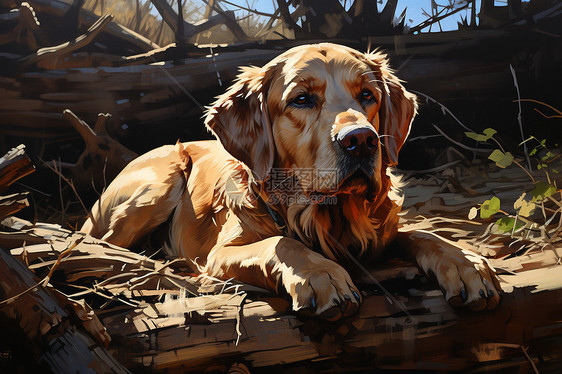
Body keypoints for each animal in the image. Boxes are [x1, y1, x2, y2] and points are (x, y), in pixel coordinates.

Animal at [80, 43, 498, 318]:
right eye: (301, 99)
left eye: (367, 95)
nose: (361, 140)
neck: (323, 214)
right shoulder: (220, 252)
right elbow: (281, 242)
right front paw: (320, 275)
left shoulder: (381, 232)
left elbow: (421, 233)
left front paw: (465, 263)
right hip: (160, 183)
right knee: (100, 243)